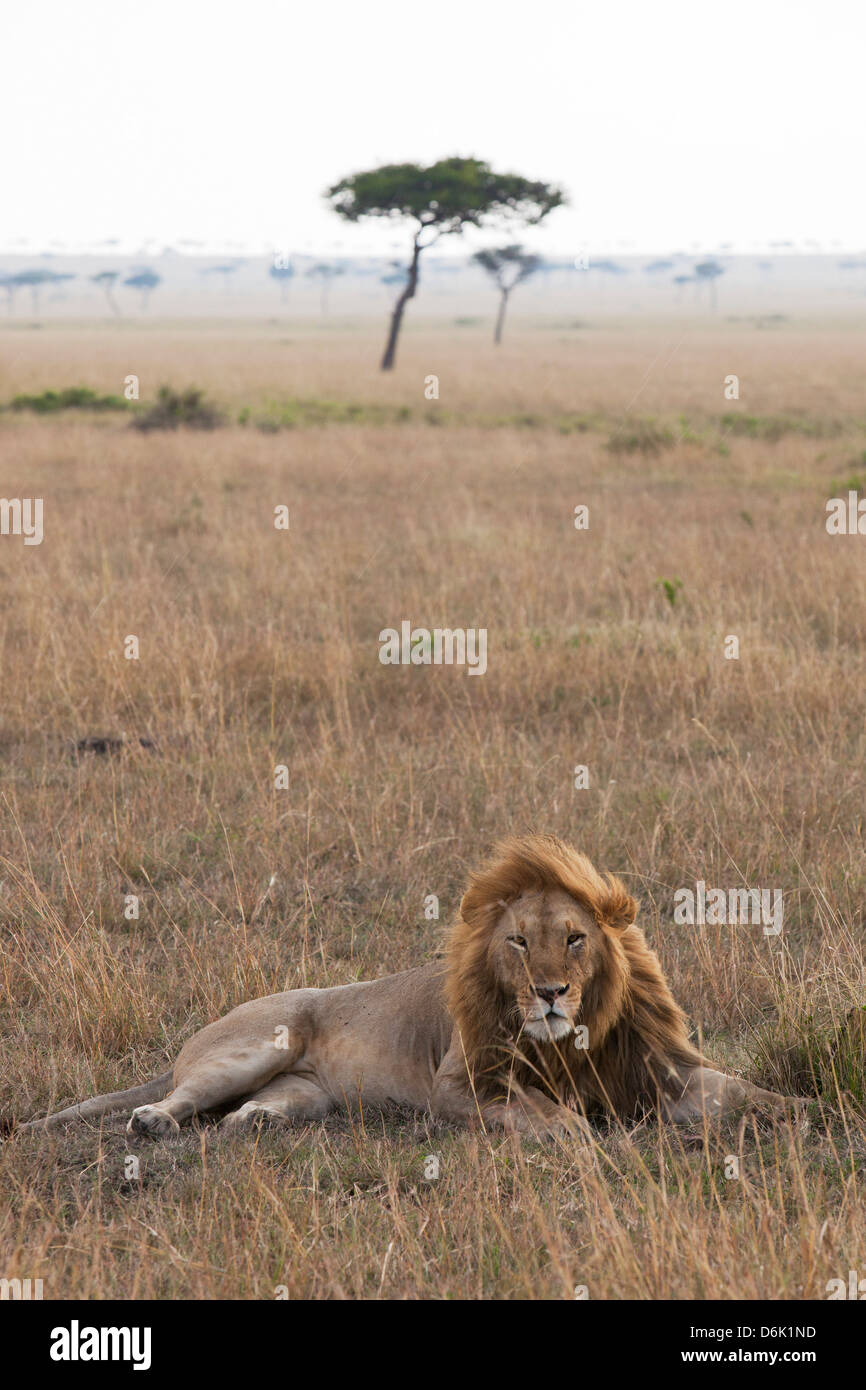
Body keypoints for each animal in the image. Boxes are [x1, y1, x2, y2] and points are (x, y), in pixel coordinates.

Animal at [20, 834, 800, 1139]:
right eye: (519, 942)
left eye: (576, 938)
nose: (550, 993)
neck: (572, 1040)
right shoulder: (458, 1084)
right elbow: (554, 1118)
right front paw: (584, 1136)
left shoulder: (661, 1070)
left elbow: (744, 1091)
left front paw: (800, 1110)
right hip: (258, 1044)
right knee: (184, 1096)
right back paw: (152, 1121)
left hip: (306, 1093)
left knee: (248, 1112)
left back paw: (254, 1124)